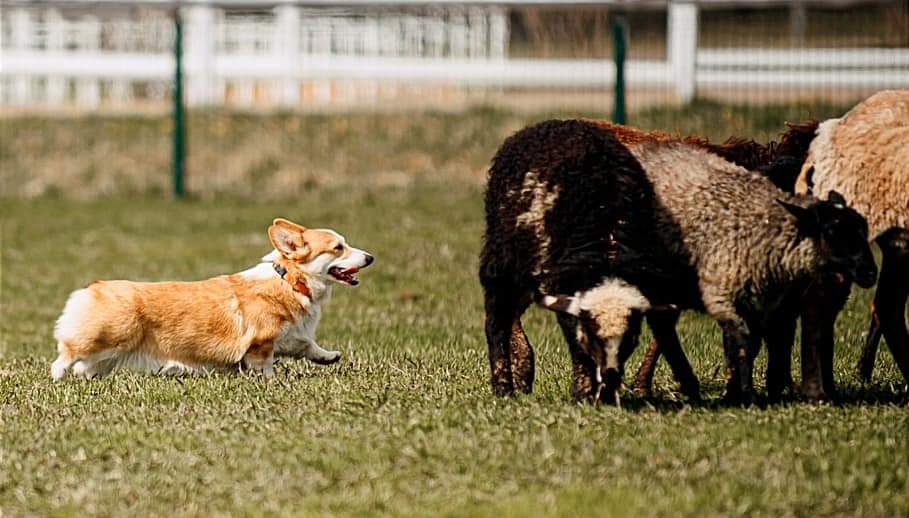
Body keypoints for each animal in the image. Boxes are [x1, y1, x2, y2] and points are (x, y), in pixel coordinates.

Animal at [48, 217, 374, 380]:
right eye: (338, 248)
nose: (370, 257)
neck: (290, 282)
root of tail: (91, 288)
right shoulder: (261, 343)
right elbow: (265, 365)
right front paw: (269, 383)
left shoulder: (292, 335)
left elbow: (308, 346)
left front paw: (329, 356)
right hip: (105, 338)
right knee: (66, 356)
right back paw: (57, 377)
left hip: (108, 356)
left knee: (86, 369)